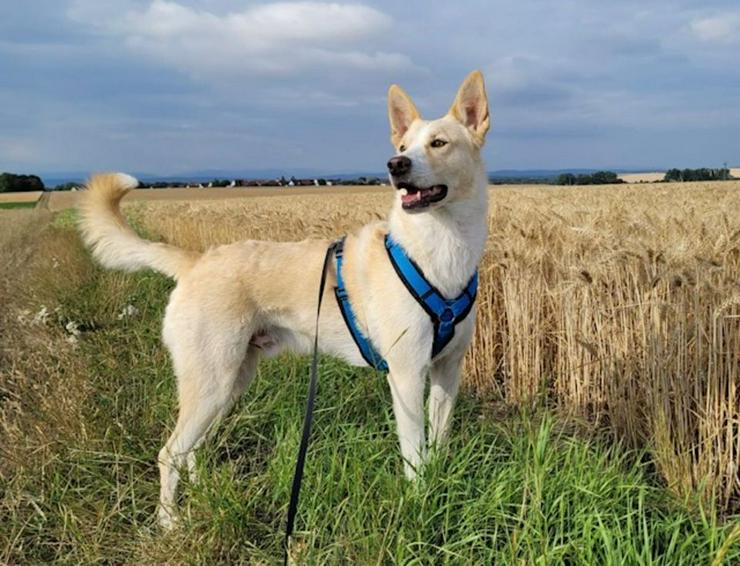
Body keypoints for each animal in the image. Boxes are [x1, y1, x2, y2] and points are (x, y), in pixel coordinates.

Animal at [78, 70, 492, 528]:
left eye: (438, 143)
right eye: (403, 148)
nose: (395, 166)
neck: (440, 248)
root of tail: (197, 260)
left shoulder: (446, 373)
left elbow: (439, 445)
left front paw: (438, 487)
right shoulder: (405, 375)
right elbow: (415, 456)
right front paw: (419, 505)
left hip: (230, 383)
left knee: (193, 449)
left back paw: (204, 493)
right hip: (211, 381)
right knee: (170, 453)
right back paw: (170, 523)